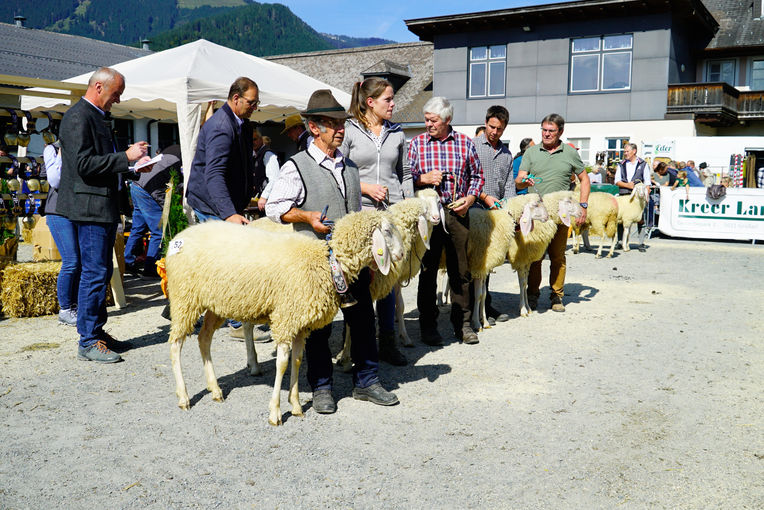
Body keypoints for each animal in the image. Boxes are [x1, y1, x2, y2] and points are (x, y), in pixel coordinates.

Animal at [167, 208, 406, 426]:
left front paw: (297, 405)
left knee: (204, 338)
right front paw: (275, 412)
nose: (402, 255)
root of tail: (178, 238)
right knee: (175, 344)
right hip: (184, 298)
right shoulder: (286, 317)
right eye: (387, 230)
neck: (327, 263)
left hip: (214, 304)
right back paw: (183, 396)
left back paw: (215, 389)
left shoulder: (301, 322)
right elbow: (282, 363)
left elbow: (297, 360)